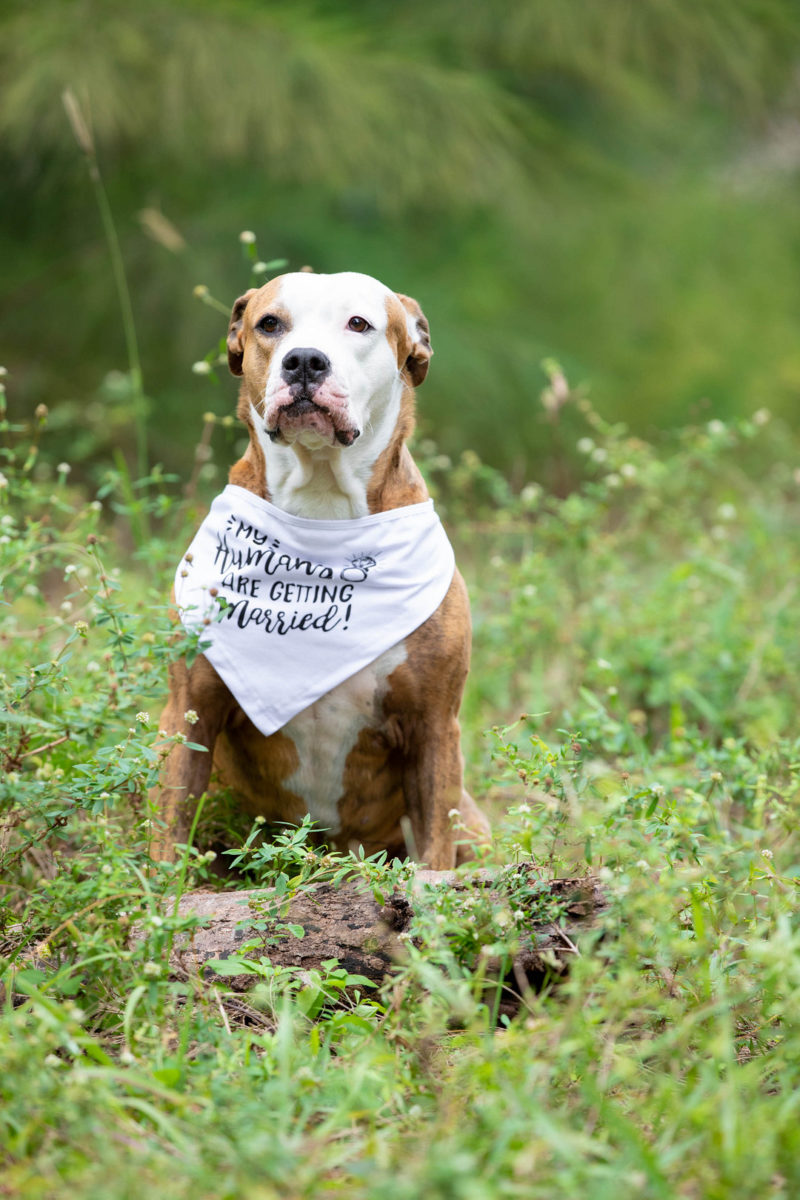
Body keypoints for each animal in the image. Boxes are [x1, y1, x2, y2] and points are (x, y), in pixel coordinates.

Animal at [149, 270, 489, 873]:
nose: (304, 360)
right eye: (269, 324)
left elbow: (434, 847)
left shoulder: (433, 725)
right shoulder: (191, 708)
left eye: (359, 324)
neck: (322, 504)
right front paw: (154, 895)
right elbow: (169, 829)